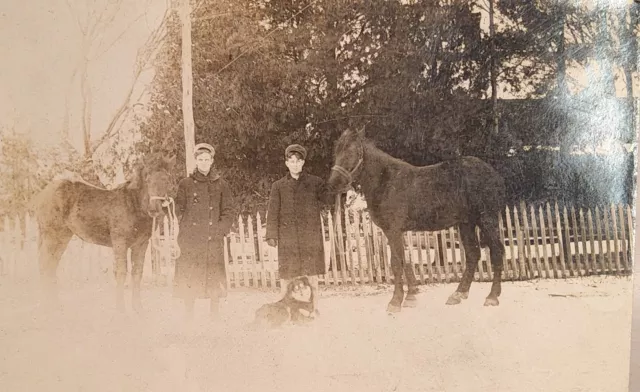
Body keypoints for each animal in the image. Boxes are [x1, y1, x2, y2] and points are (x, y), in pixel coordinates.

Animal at [29, 152, 175, 314]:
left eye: (167, 180)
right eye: (148, 180)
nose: (154, 209)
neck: (133, 205)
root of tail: (43, 194)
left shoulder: (141, 244)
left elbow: (137, 273)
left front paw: (138, 310)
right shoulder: (120, 243)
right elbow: (121, 273)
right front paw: (121, 311)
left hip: (62, 238)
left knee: (51, 266)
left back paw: (55, 306)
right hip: (52, 236)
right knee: (45, 265)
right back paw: (47, 308)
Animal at [328, 128, 508, 312]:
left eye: (351, 152)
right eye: (336, 152)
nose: (333, 183)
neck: (386, 180)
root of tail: (494, 175)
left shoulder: (393, 230)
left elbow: (396, 263)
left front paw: (395, 301)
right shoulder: (395, 232)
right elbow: (404, 260)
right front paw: (410, 296)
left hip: (487, 219)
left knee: (497, 251)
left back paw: (492, 296)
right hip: (466, 223)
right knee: (473, 254)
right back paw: (458, 294)